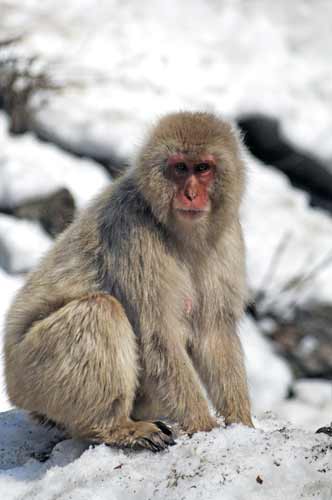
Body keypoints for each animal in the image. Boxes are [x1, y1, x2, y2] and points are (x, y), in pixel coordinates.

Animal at [3, 110, 253, 454]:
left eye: (203, 168)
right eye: (180, 168)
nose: (190, 194)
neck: (177, 231)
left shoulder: (227, 239)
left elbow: (213, 331)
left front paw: (242, 425)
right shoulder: (134, 235)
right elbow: (158, 336)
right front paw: (204, 427)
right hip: (31, 373)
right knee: (100, 311)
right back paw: (115, 427)